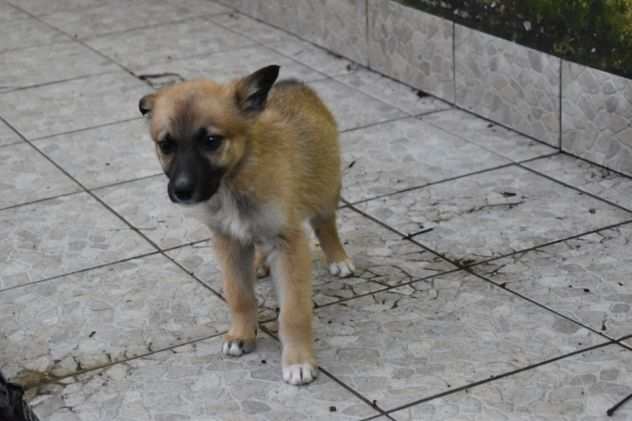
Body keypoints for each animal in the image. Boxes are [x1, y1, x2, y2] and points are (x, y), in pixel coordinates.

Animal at [138, 65, 354, 384]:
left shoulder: (288, 243)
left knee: (326, 225)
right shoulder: (228, 241)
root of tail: (295, 84)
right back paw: (260, 263)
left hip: (325, 188)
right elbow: (239, 295)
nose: (182, 191)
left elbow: (293, 312)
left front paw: (298, 361)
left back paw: (339, 258)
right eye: (166, 145)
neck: (234, 178)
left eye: (211, 141)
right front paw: (241, 334)